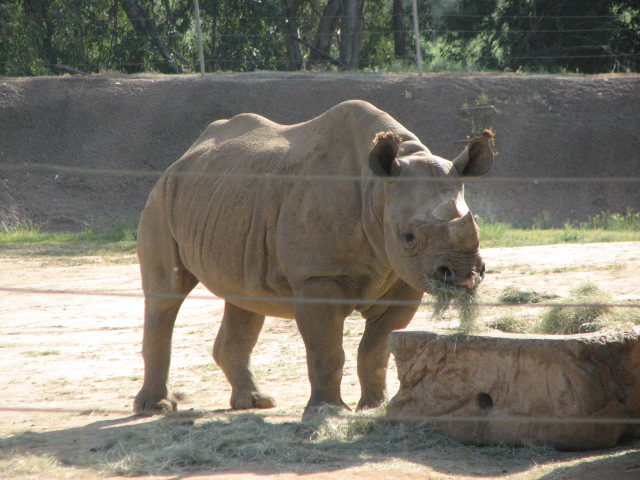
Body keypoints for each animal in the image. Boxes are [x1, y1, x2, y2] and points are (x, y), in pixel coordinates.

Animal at [133, 100, 494, 415]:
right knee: (165, 294)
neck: (377, 190)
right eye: (408, 236)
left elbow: (377, 349)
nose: (465, 275)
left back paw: (254, 403)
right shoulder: (317, 276)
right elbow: (327, 351)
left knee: (244, 296)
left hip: (228, 198)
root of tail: (184, 155)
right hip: (162, 197)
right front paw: (327, 411)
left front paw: (373, 407)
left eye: (477, 225)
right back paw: (156, 407)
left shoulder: (403, 281)